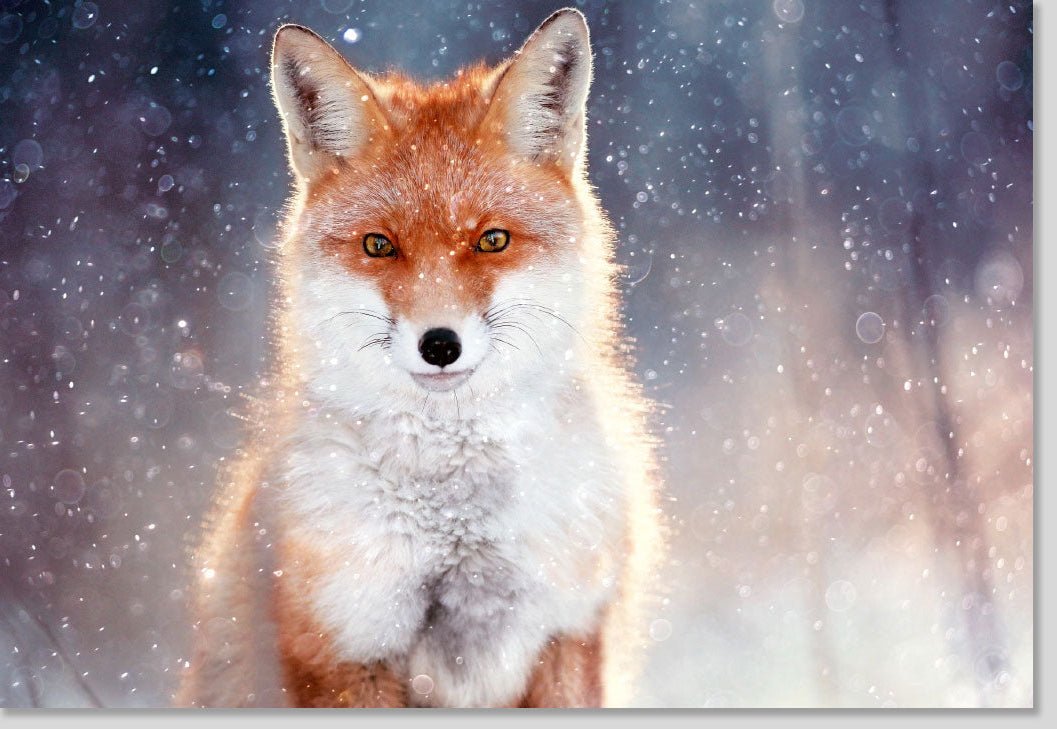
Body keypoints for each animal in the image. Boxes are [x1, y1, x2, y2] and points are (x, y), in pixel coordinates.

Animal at [175, 8, 664, 709]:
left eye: (492, 240)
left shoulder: (567, 632)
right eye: (379, 245)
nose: (439, 345)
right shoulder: (345, 643)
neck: (455, 521)